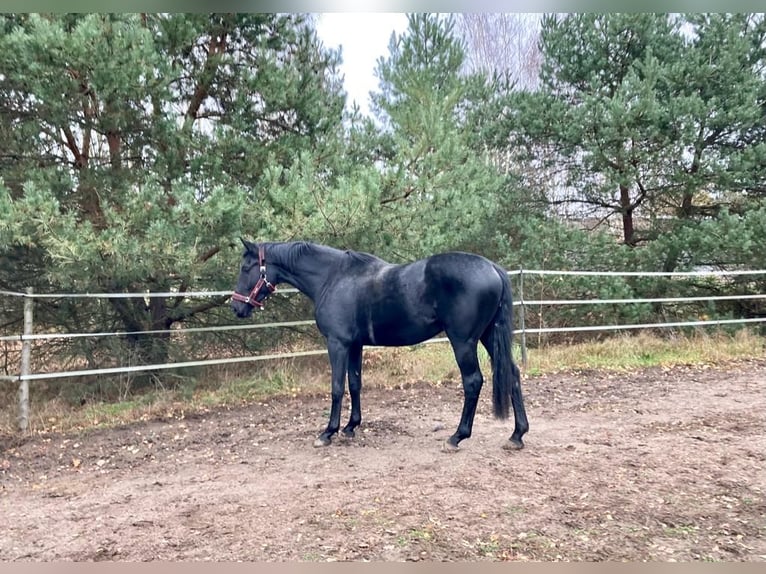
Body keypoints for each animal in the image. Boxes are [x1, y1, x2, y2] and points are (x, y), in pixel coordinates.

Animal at [231, 241, 532, 452]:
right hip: (489, 337)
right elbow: (355, 384)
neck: (332, 278)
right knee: (513, 375)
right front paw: (351, 427)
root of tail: (492, 268)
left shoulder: (337, 343)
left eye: (246, 268)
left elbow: (337, 387)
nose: (236, 307)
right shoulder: (355, 345)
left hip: (464, 341)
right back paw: (516, 435)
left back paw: (457, 437)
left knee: (472, 381)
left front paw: (328, 432)